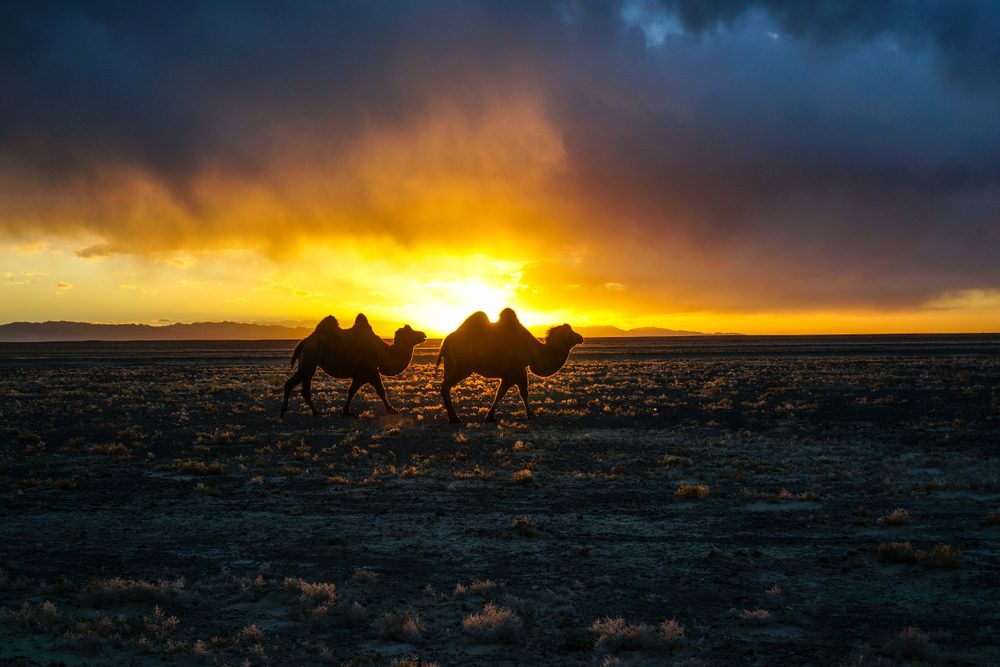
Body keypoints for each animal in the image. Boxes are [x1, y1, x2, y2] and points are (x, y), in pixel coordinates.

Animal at [281, 314, 426, 418]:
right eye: (410, 332)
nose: (423, 334)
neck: (382, 352)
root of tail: (305, 341)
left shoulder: (362, 374)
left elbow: (352, 391)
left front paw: (346, 411)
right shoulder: (369, 371)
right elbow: (379, 391)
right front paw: (392, 410)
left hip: (309, 364)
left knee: (301, 388)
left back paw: (313, 412)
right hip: (309, 360)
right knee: (294, 385)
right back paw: (287, 412)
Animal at [436, 308, 584, 423]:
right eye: (570, 332)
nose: (581, 338)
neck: (534, 351)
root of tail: (445, 341)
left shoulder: (511, 373)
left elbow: (502, 393)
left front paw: (490, 416)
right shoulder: (516, 370)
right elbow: (521, 393)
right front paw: (531, 414)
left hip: (450, 366)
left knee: (445, 387)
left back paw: (453, 417)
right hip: (462, 367)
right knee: (445, 387)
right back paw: (455, 418)